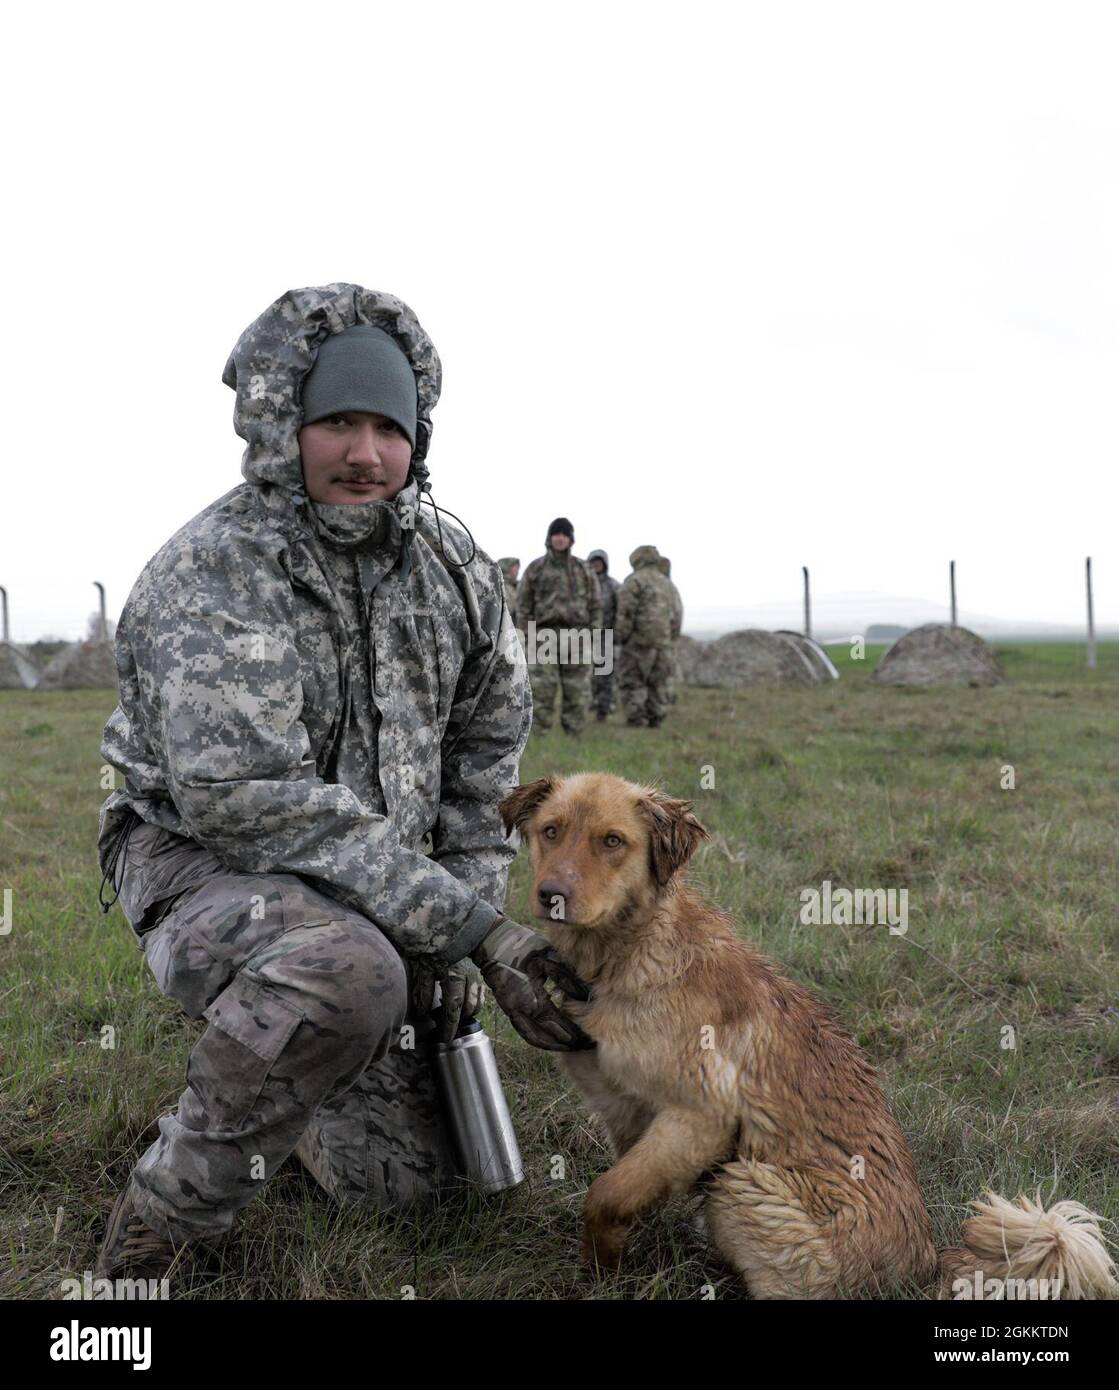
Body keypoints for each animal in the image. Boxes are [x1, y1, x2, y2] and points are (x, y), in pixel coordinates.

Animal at [500, 778, 1117, 1295]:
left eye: (613, 841)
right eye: (550, 830)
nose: (551, 895)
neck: (628, 952)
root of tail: (924, 1267)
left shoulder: (701, 1116)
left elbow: (604, 1194)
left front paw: (599, 1272)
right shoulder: (625, 1108)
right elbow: (626, 1188)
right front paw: (613, 1265)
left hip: (747, 1184)